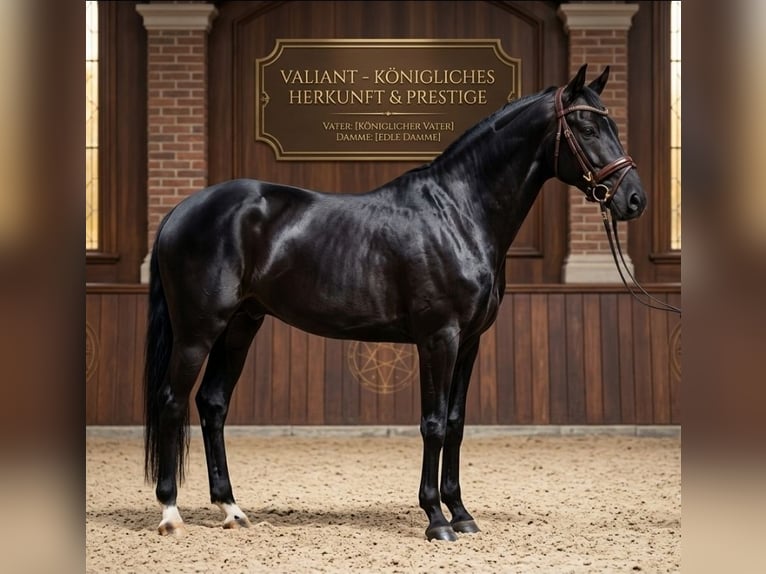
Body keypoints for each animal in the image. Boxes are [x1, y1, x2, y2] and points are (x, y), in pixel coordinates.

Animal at [143, 64, 645, 541]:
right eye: (586, 127)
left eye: (612, 124)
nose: (633, 199)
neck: (458, 213)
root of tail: (181, 210)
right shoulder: (438, 338)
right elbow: (433, 423)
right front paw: (436, 520)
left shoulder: (469, 342)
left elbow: (457, 423)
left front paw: (462, 514)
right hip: (198, 331)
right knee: (172, 400)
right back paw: (170, 514)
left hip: (241, 325)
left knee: (212, 403)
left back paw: (232, 510)